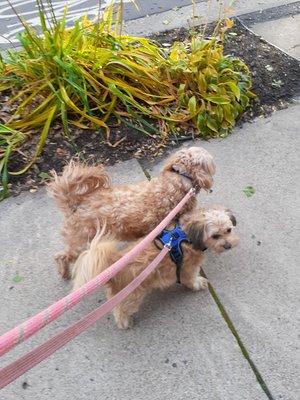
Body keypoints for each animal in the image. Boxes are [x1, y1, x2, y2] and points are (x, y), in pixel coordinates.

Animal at [72, 206, 239, 328]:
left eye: (228, 230)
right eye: (215, 236)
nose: (228, 245)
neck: (186, 235)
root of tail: (113, 267)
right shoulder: (188, 268)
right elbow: (191, 280)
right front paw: (198, 284)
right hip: (131, 297)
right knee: (120, 312)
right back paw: (125, 322)